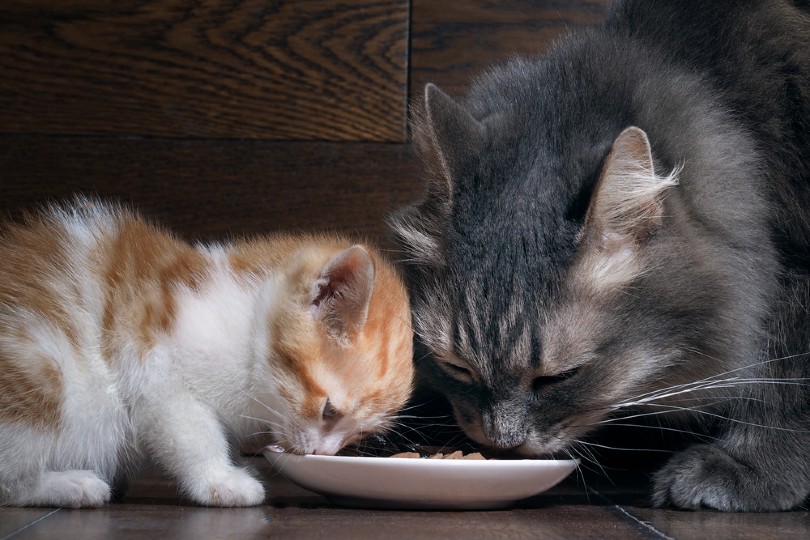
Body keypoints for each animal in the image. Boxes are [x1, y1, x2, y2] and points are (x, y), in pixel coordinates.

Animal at [0, 198, 414, 506]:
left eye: (359, 435)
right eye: (329, 411)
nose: (323, 453)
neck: (246, 331)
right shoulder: (156, 371)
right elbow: (192, 433)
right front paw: (220, 480)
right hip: (41, 370)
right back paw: (71, 485)